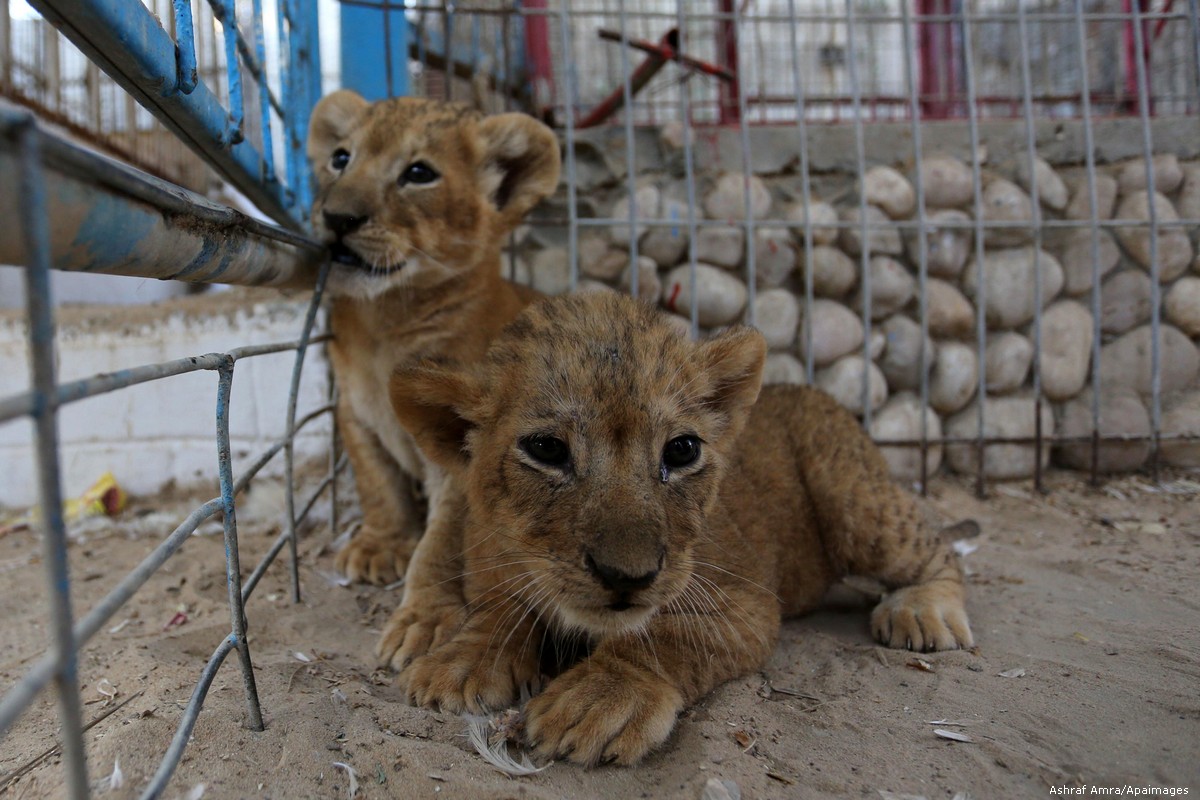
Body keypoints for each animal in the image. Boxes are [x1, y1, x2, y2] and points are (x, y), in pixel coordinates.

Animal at [305, 90, 559, 610]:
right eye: (341, 158)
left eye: (419, 173)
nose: (338, 218)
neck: (388, 322)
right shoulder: (354, 413)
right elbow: (378, 484)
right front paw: (381, 546)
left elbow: (445, 540)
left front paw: (426, 617)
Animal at [387, 291, 973, 766]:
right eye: (547, 449)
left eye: (682, 450)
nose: (628, 576)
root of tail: (810, 391)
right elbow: (500, 609)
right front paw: (461, 661)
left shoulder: (747, 602)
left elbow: (664, 636)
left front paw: (601, 698)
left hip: (852, 501)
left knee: (935, 545)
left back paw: (923, 611)